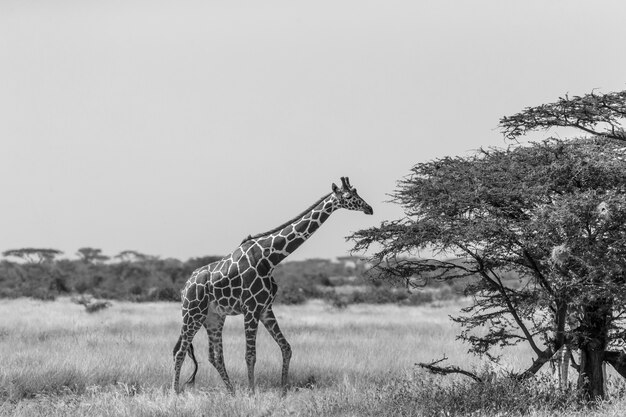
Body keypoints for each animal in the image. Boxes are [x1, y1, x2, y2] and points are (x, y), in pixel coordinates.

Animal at [172, 176, 370, 394]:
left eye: (357, 192)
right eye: (348, 196)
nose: (369, 208)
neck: (270, 258)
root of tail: (184, 288)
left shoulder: (265, 308)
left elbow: (286, 347)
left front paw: (283, 391)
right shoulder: (250, 309)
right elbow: (250, 355)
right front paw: (251, 393)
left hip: (213, 318)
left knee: (214, 356)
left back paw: (231, 392)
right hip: (192, 314)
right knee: (180, 351)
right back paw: (176, 392)